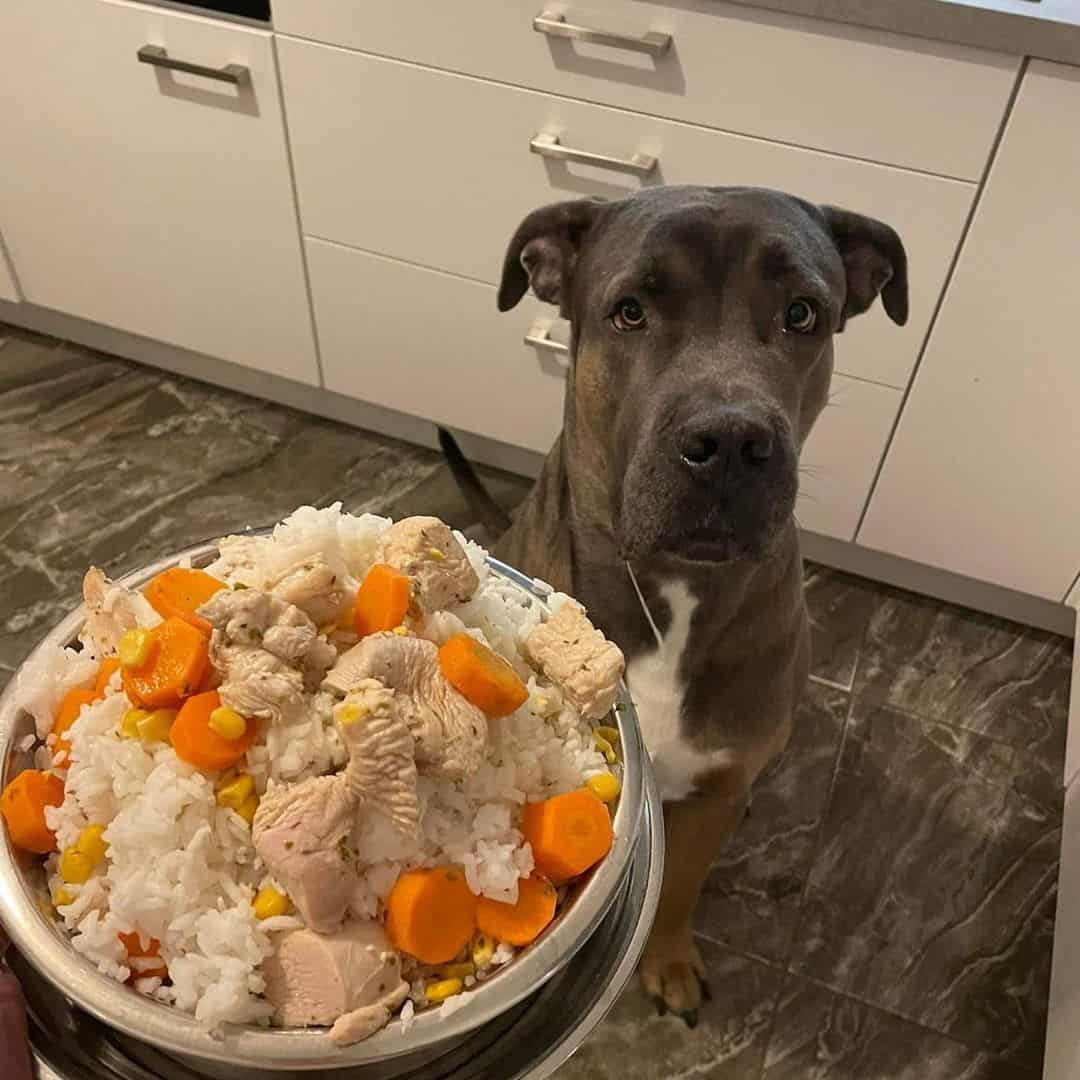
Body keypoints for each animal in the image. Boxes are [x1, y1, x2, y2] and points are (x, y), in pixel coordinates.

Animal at [438, 183, 902, 1019]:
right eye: (629, 311)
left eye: (802, 313)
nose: (731, 443)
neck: (675, 596)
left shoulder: (717, 787)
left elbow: (682, 883)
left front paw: (671, 960)